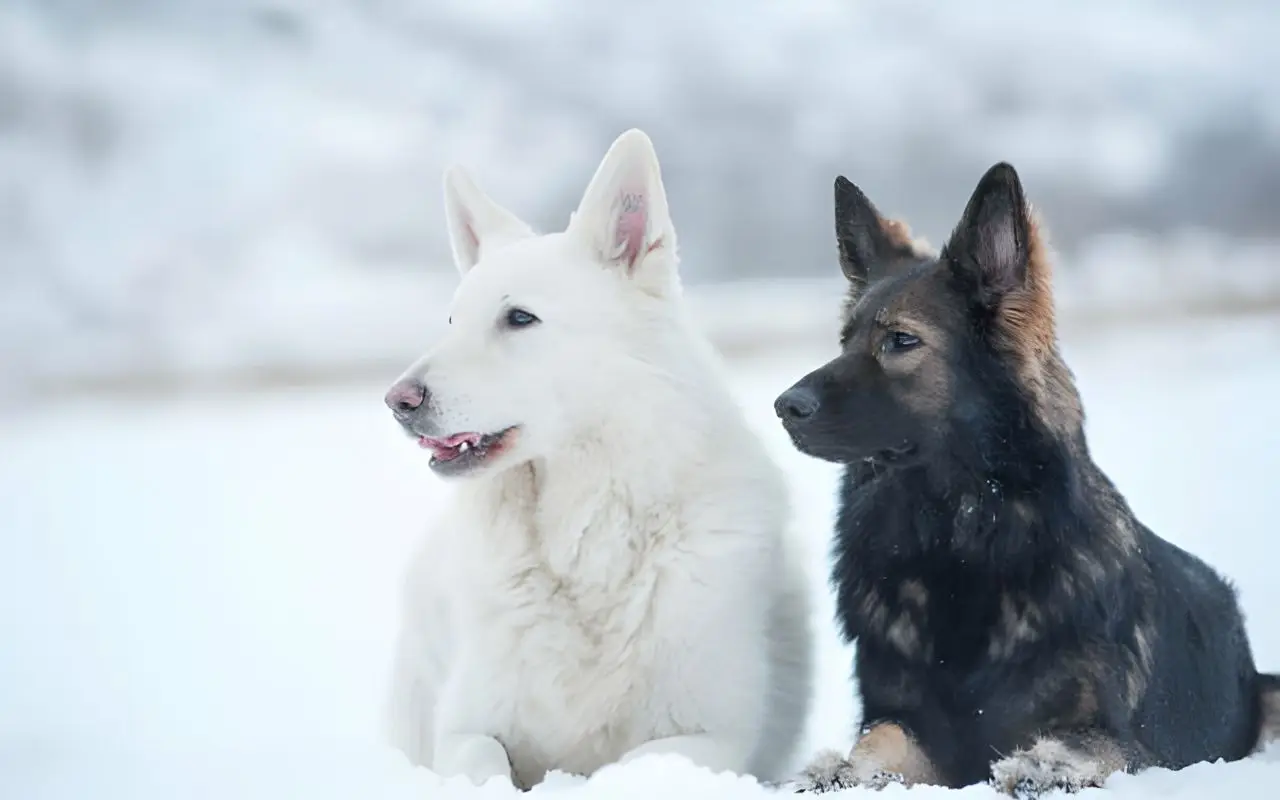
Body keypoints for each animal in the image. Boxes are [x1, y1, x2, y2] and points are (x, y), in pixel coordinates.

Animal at [378, 131, 808, 788]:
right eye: (451, 321)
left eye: (519, 318)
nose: (398, 401)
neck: (586, 541)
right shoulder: (465, 730)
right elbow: (484, 764)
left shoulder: (709, 737)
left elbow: (628, 769)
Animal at [773, 162, 1274, 793]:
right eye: (845, 340)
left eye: (900, 341)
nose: (783, 406)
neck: (959, 539)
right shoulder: (910, 720)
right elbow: (881, 737)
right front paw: (841, 768)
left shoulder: (1135, 745)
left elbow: (1087, 742)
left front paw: (1047, 761)